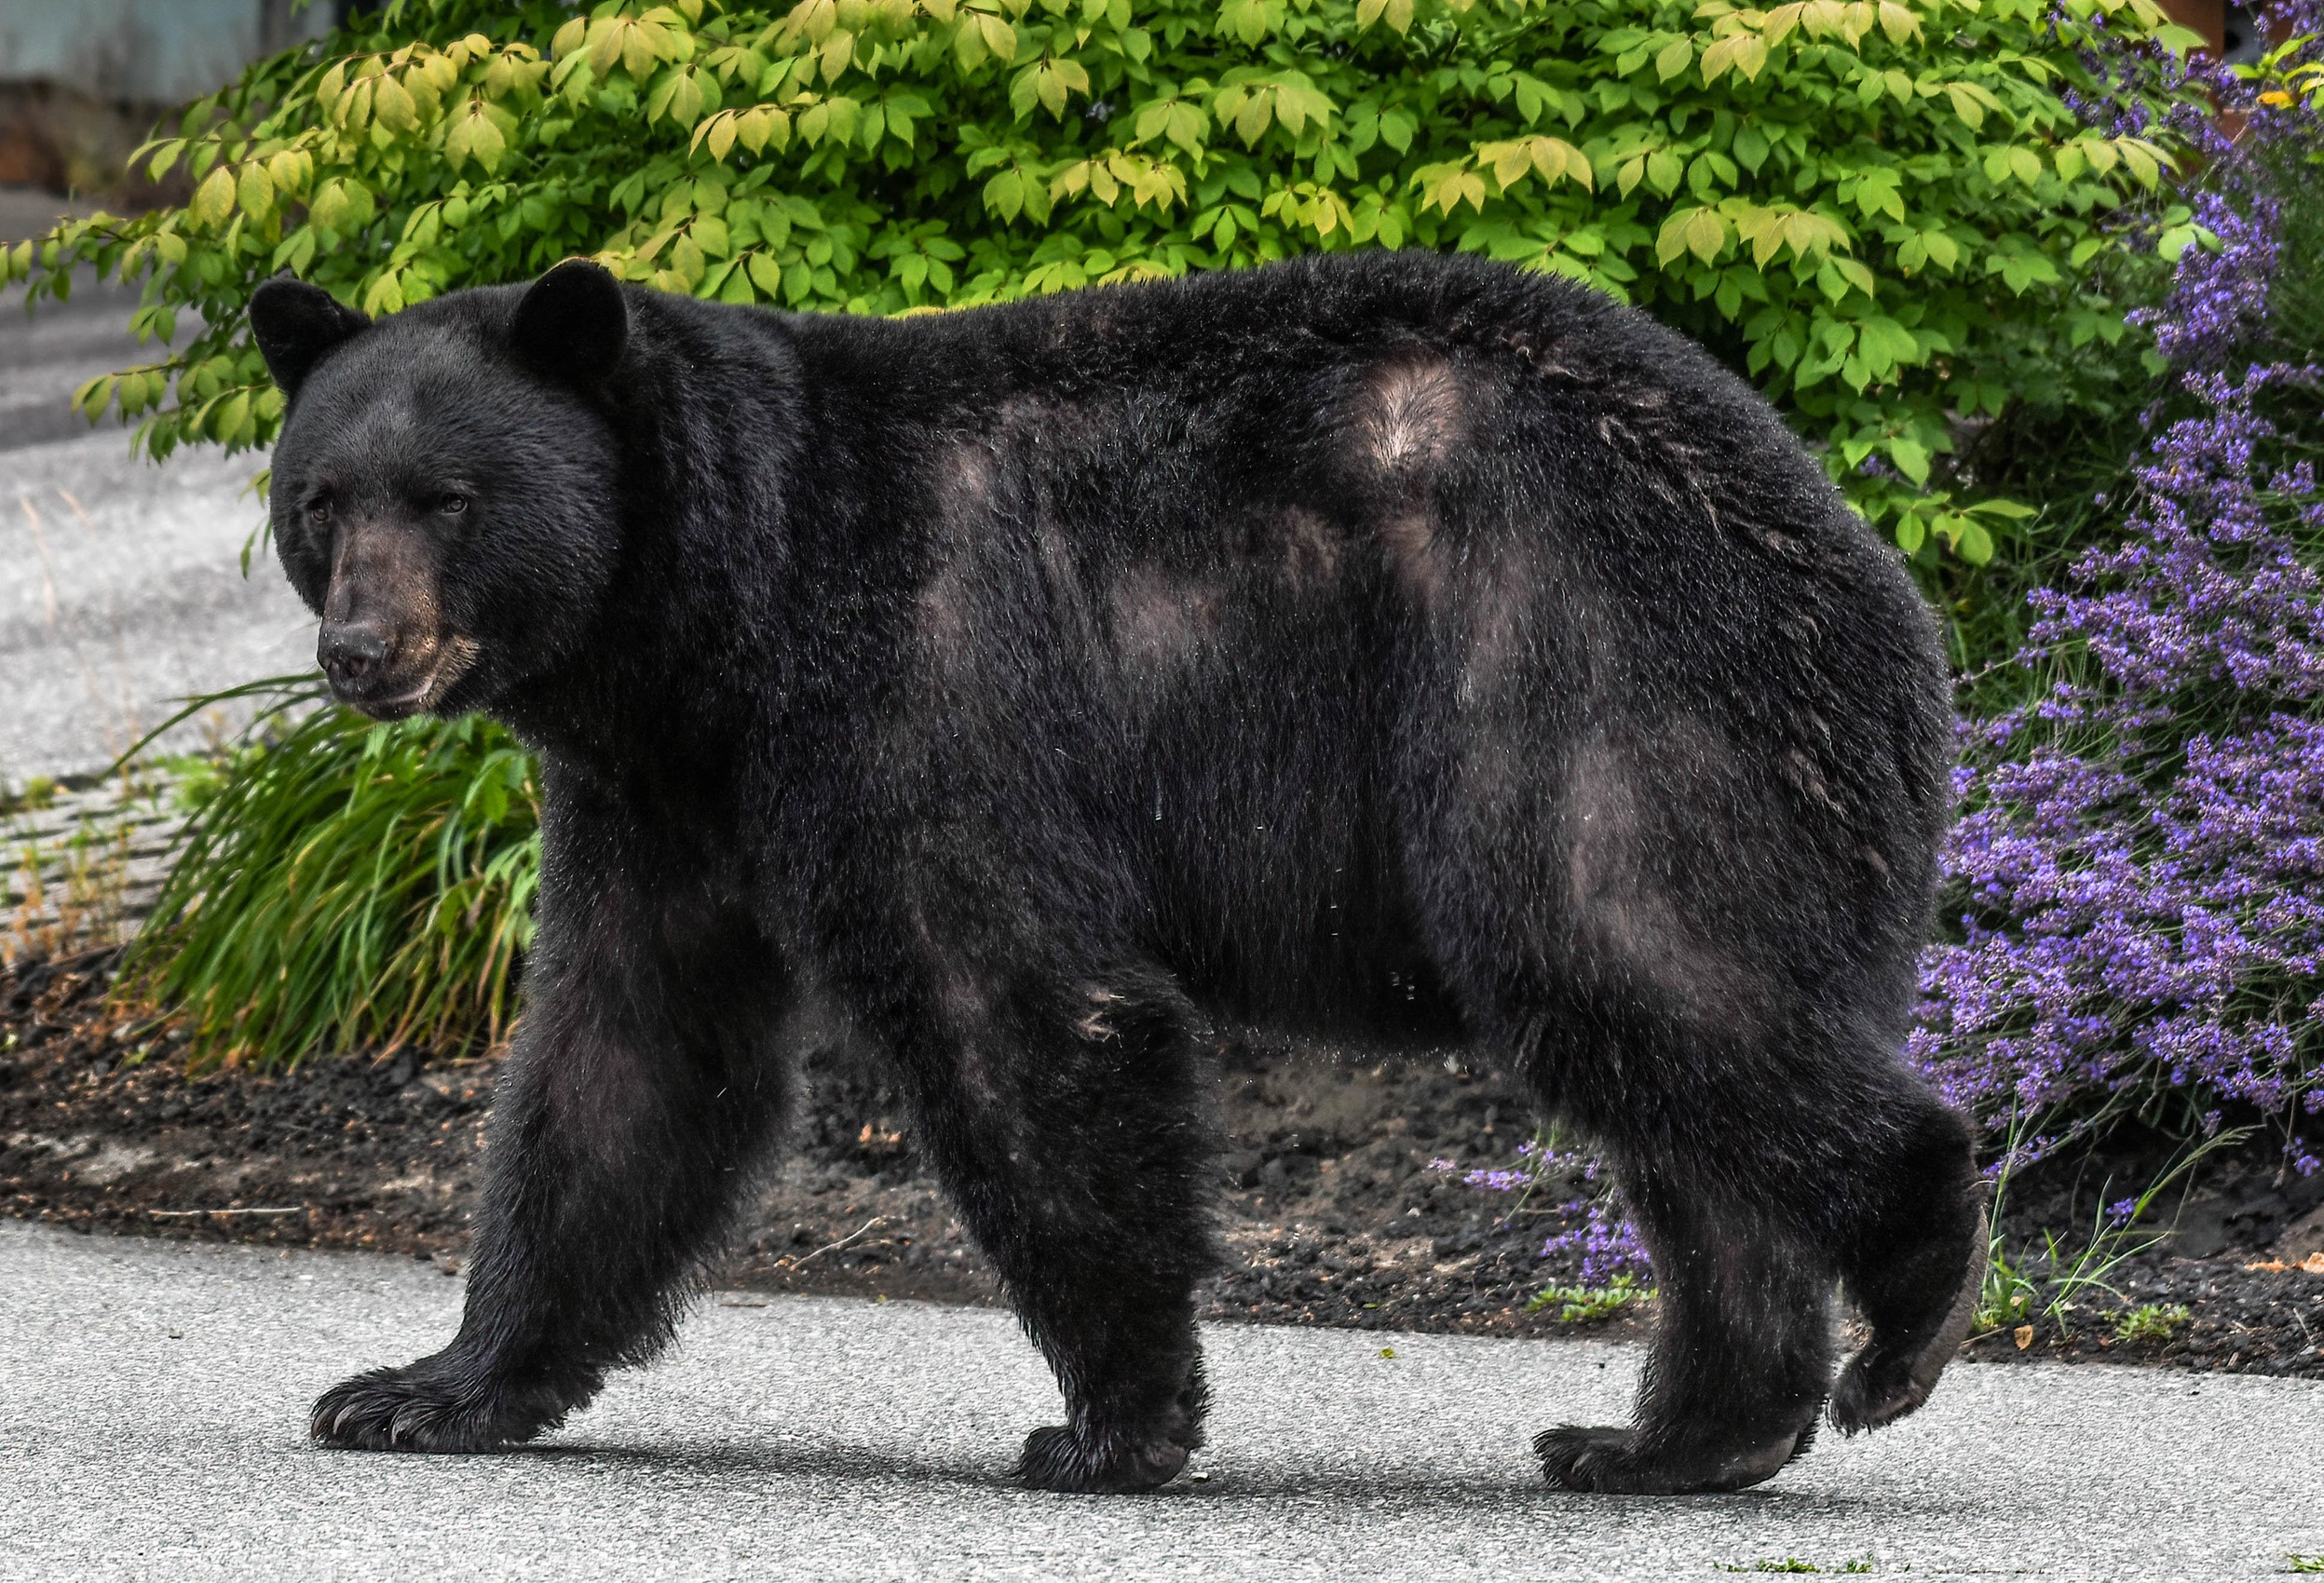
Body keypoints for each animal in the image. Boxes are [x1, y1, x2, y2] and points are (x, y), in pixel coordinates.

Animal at [247, 248, 1985, 1496]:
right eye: (319, 499)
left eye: (450, 498)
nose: (361, 653)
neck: (722, 611)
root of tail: (1872, 586)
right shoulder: (668, 791)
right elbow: (625, 1051)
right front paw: (420, 1389)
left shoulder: (916, 685)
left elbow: (1011, 1006)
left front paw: (1108, 1425)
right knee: (1681, 1094)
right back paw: (1675, 1438)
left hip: (1575, 667)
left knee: (1625, 960)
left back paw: (1906, 1297)